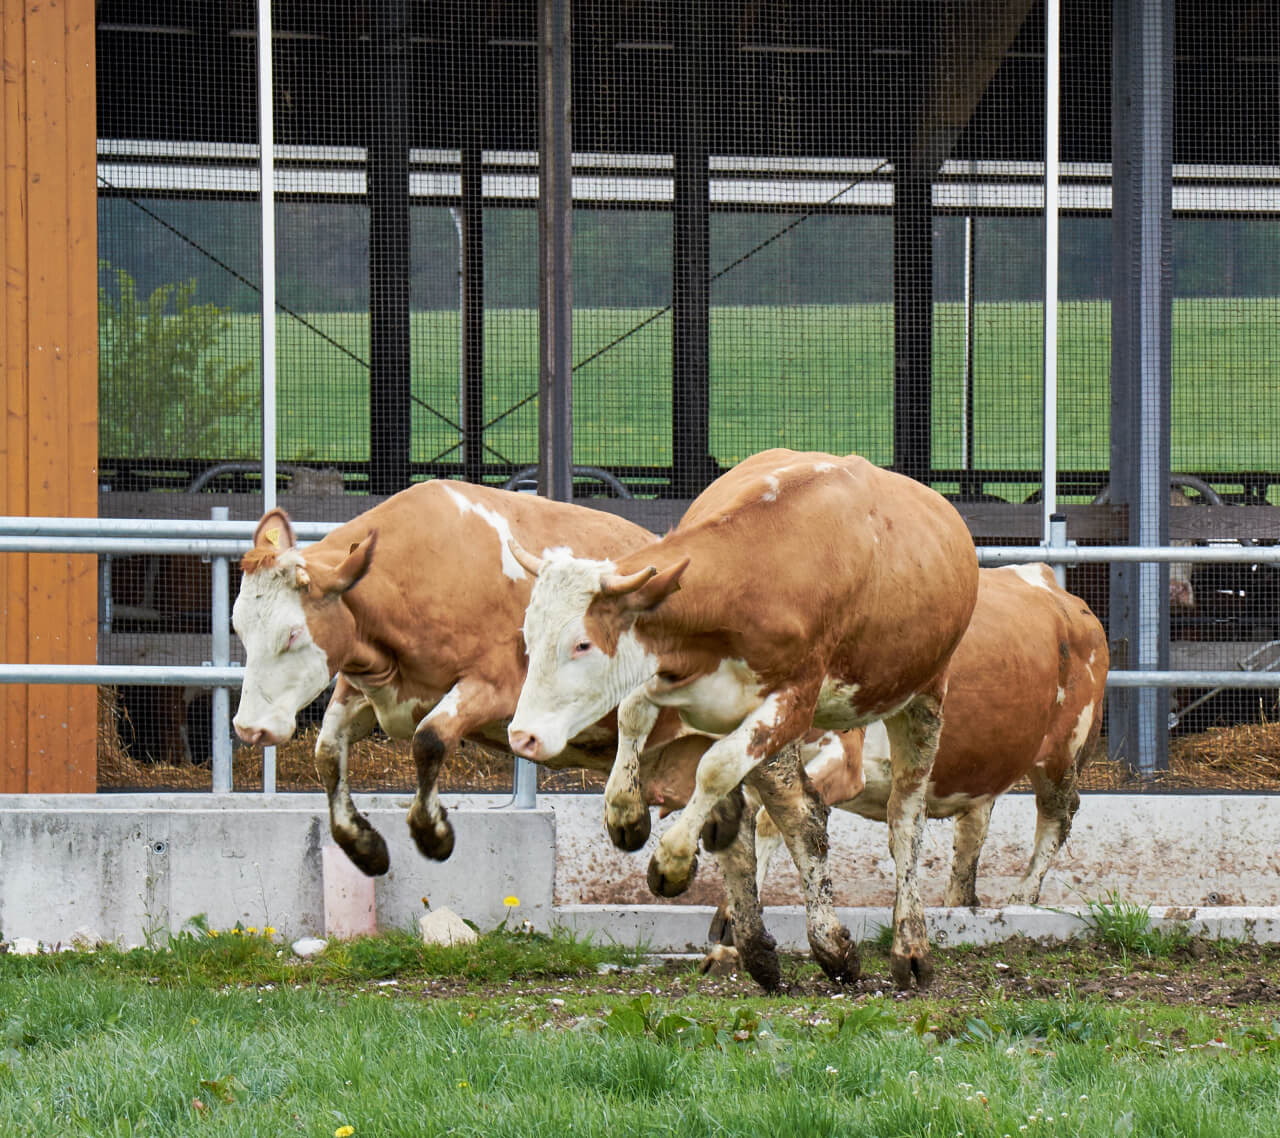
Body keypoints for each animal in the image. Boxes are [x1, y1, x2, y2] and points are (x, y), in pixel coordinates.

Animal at [226, 478, 701, 870]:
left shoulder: (495, 687)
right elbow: (327, 753)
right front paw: (364, 845)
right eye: (239, 627)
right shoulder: (364, 687)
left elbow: (429, 739)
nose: (248, 729)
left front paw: (433, 833)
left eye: (291, 634)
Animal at [504, 445, 972, 988]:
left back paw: (907, 947)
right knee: (791, 814)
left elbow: (716, 768)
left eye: (581, 644)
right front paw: (626, 813)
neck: (758, 574)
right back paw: (780, 946)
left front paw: (672, 859)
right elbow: (634, 715)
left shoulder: (792, 703)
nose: (522, 736)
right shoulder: (675, 676)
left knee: (903, 820)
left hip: (924, 697)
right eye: (528, 635)